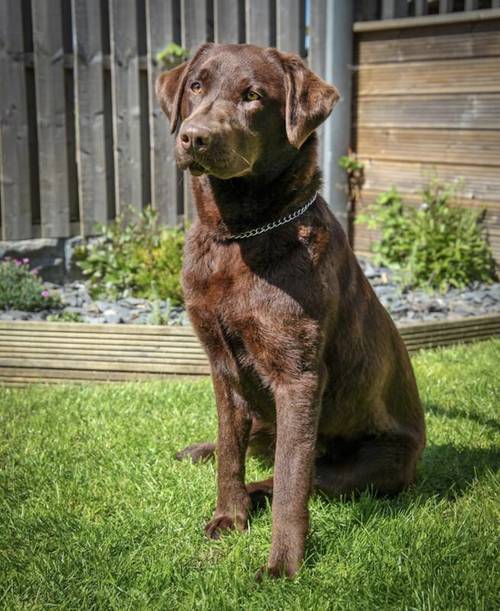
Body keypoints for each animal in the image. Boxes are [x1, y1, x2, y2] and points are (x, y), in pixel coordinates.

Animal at [156, 43, 426, 580]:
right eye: (196, 86)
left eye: (253, 96)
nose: (194, 136)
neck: (237, 237)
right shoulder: (221, 365)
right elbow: (231, 453)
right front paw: (229, 515)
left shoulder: (298, 375)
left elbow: (290, 480)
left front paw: (282, 563)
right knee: (250, 442)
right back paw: (203, 453)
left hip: (372, 461)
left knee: (301, 474)